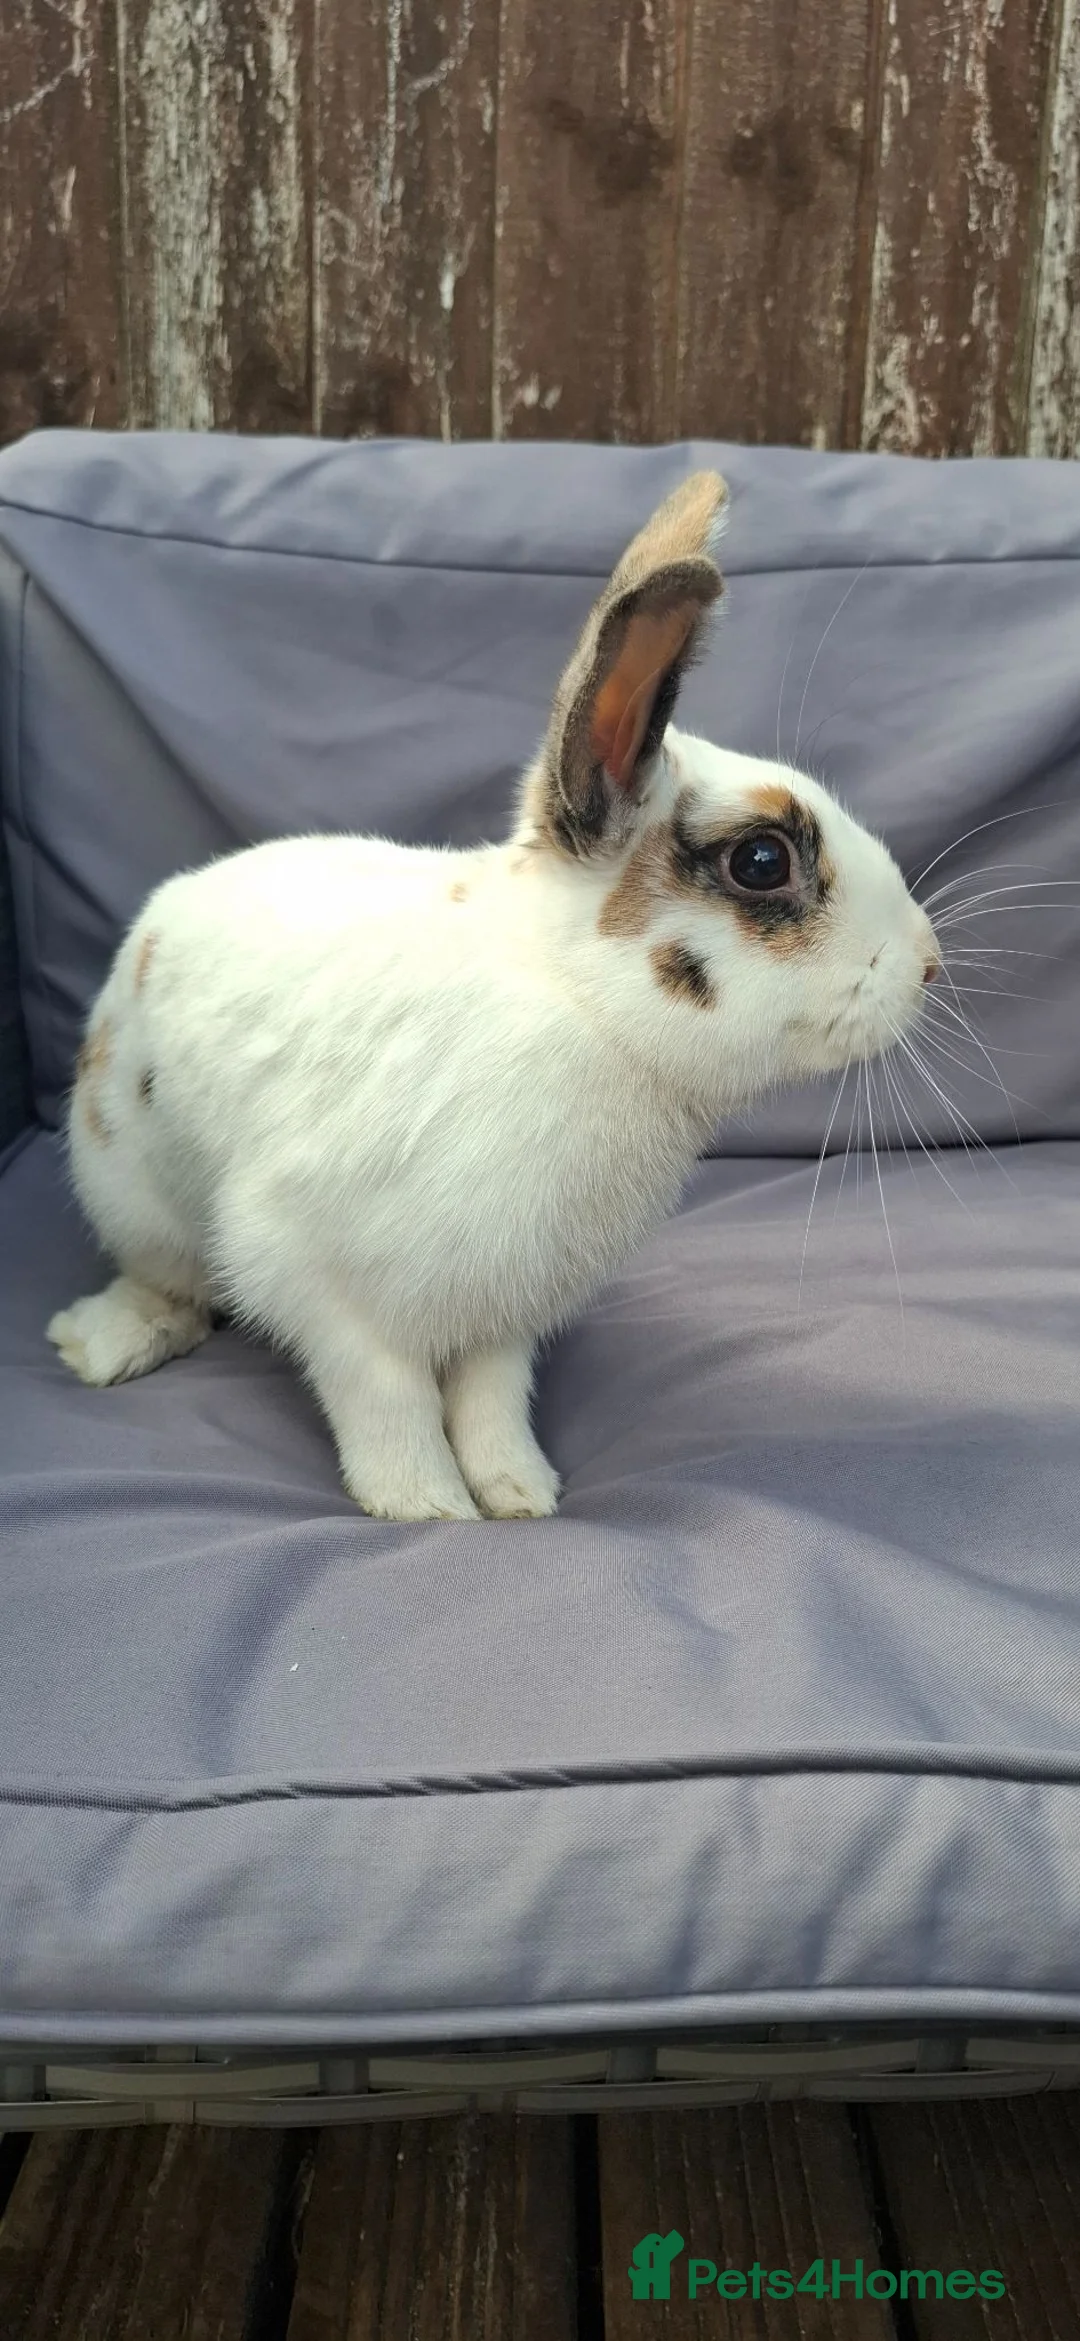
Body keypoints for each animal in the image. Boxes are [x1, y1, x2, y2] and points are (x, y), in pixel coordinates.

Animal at [48, 471, 940, 1522]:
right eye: (762, 861)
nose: (929, 960)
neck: (577, 1008)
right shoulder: (309, 1266)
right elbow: (383, 1391)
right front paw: (425, 1504)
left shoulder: (505, 1307)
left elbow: (490, 1397)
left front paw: (520, 1491)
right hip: (134, 1193)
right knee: (174, 1288)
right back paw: (99, 1342)